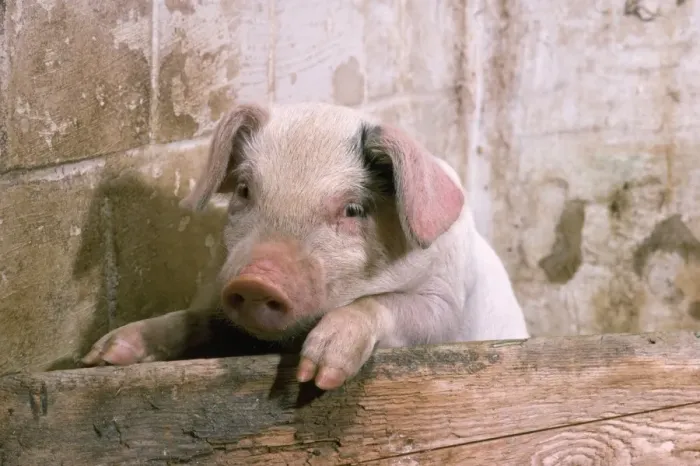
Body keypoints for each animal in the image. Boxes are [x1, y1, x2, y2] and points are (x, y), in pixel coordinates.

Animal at [81, 101, 529, 390]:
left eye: (353, 209)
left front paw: (317, 376)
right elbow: (199, 319)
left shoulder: (448, 303)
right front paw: (101, 357)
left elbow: (387, 305)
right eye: (244, 190)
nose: (257, 280)